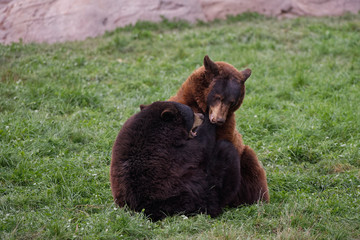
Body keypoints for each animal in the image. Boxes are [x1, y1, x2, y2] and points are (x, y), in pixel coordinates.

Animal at [109, 100, 239, 220]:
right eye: (192, 114)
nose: (201, 116)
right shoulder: (170, 151)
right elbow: (200, 147)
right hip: (195, 196)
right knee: (226, 153)